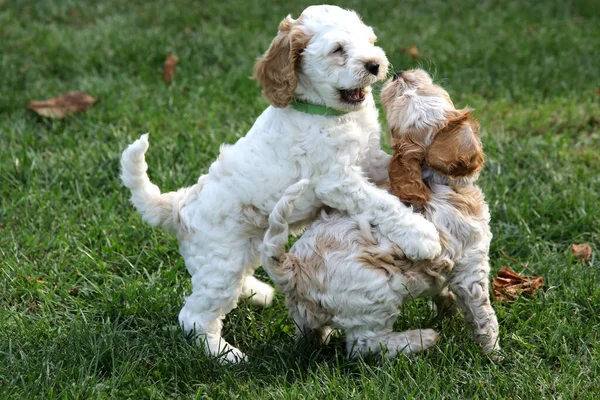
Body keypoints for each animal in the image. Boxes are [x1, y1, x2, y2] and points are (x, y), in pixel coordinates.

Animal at [122, 6, 440, 362]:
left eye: (369, 41)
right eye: (338, 50)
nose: (375, 65)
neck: (328, 113)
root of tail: (180, 203)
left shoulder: (368, 157)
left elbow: (389, 169)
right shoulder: (335, 180)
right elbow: (380, 203)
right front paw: (421, 235)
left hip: (242, 247)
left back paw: (257, 292)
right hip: (220, 259)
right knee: (194, 315)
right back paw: (225, 354)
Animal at [262, 69, 502, 360]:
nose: (400, 73)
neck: (434, 180)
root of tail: (291, 268)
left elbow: (445, 293)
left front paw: (448, 310)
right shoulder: (472, 264)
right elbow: (483, 315)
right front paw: (494, 354)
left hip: (309, 311)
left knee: (309, 333)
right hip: (376, 297)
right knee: (363, 345)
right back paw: (422, 339)